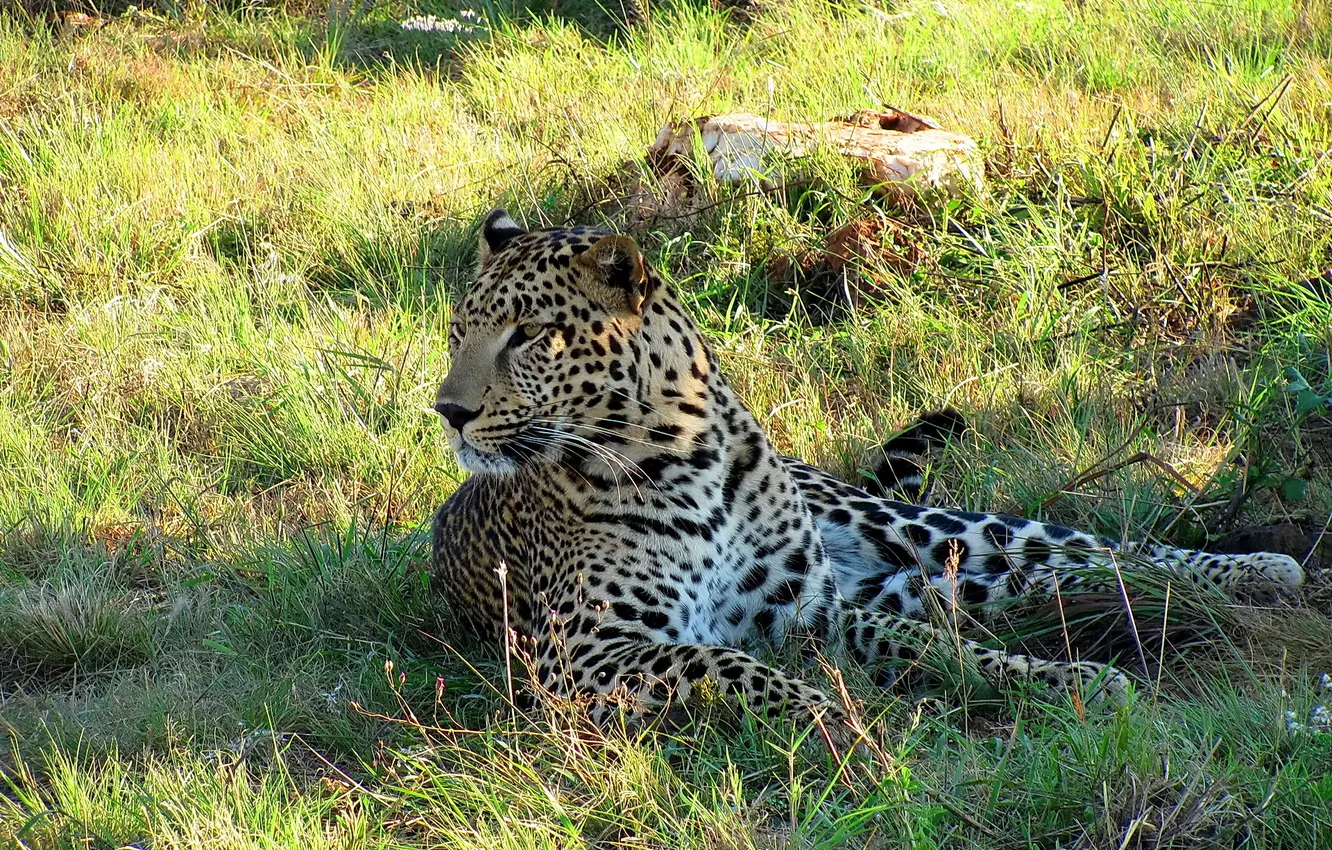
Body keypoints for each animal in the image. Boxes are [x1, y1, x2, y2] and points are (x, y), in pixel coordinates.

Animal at [429, 209, 1306, 732]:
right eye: (459, 329)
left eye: (528, 334)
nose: (448, 411)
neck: (684, 453)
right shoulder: (584, 651)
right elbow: (731, 663)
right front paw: (839, 717)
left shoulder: (815, 610)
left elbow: (937, 650)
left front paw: (1062, 680)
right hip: (938, 578)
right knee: (1051, 580)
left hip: (912, 526)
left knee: (1098, 548)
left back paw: (1256, 570)